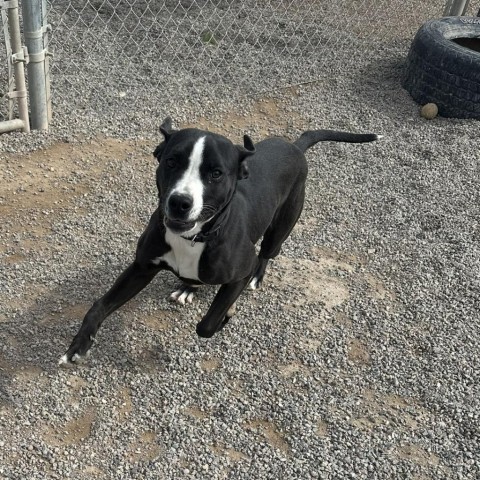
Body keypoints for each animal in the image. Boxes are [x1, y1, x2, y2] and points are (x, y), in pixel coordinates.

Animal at [60, 117, 380, 364]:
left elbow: (207, 325)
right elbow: (99, 306)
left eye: (215, 173)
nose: (180, 202)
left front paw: (227, 314)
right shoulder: (141, 267)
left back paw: (253, 278)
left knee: (267, 253)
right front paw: (78, 345)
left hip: (281, 227)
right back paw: (187, 287)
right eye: (171, 161)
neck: (194, 237)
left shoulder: (238, 274)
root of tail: (294, 146)